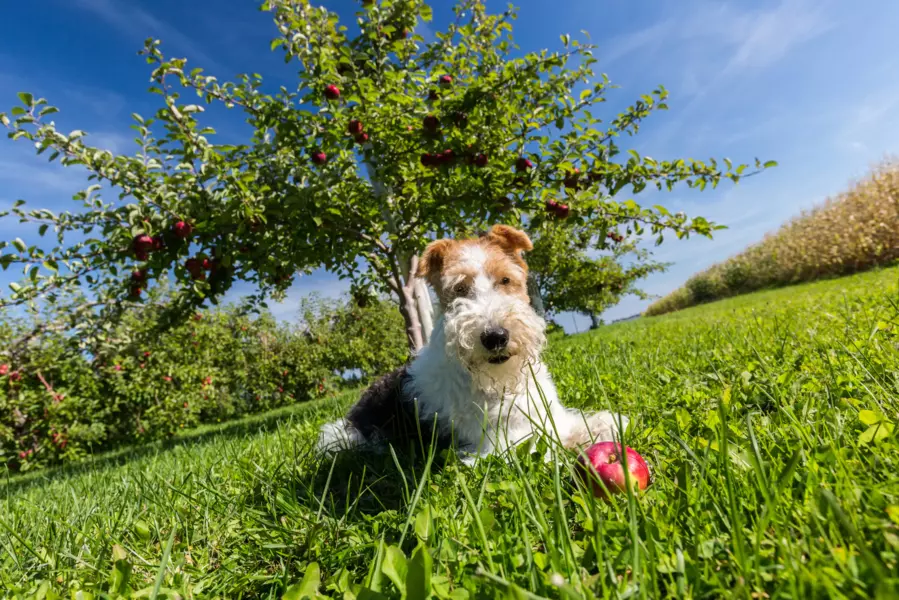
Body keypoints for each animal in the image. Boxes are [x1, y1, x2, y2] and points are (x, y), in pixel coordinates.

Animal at [320, 225, 628, 464]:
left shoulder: (550, 415)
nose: (495, 337)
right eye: (459, 289)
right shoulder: (501, 447)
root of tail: (351, 416)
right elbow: (549, 449)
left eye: (505, 279)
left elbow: (584, 423)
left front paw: (612, 424)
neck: (501, 382)